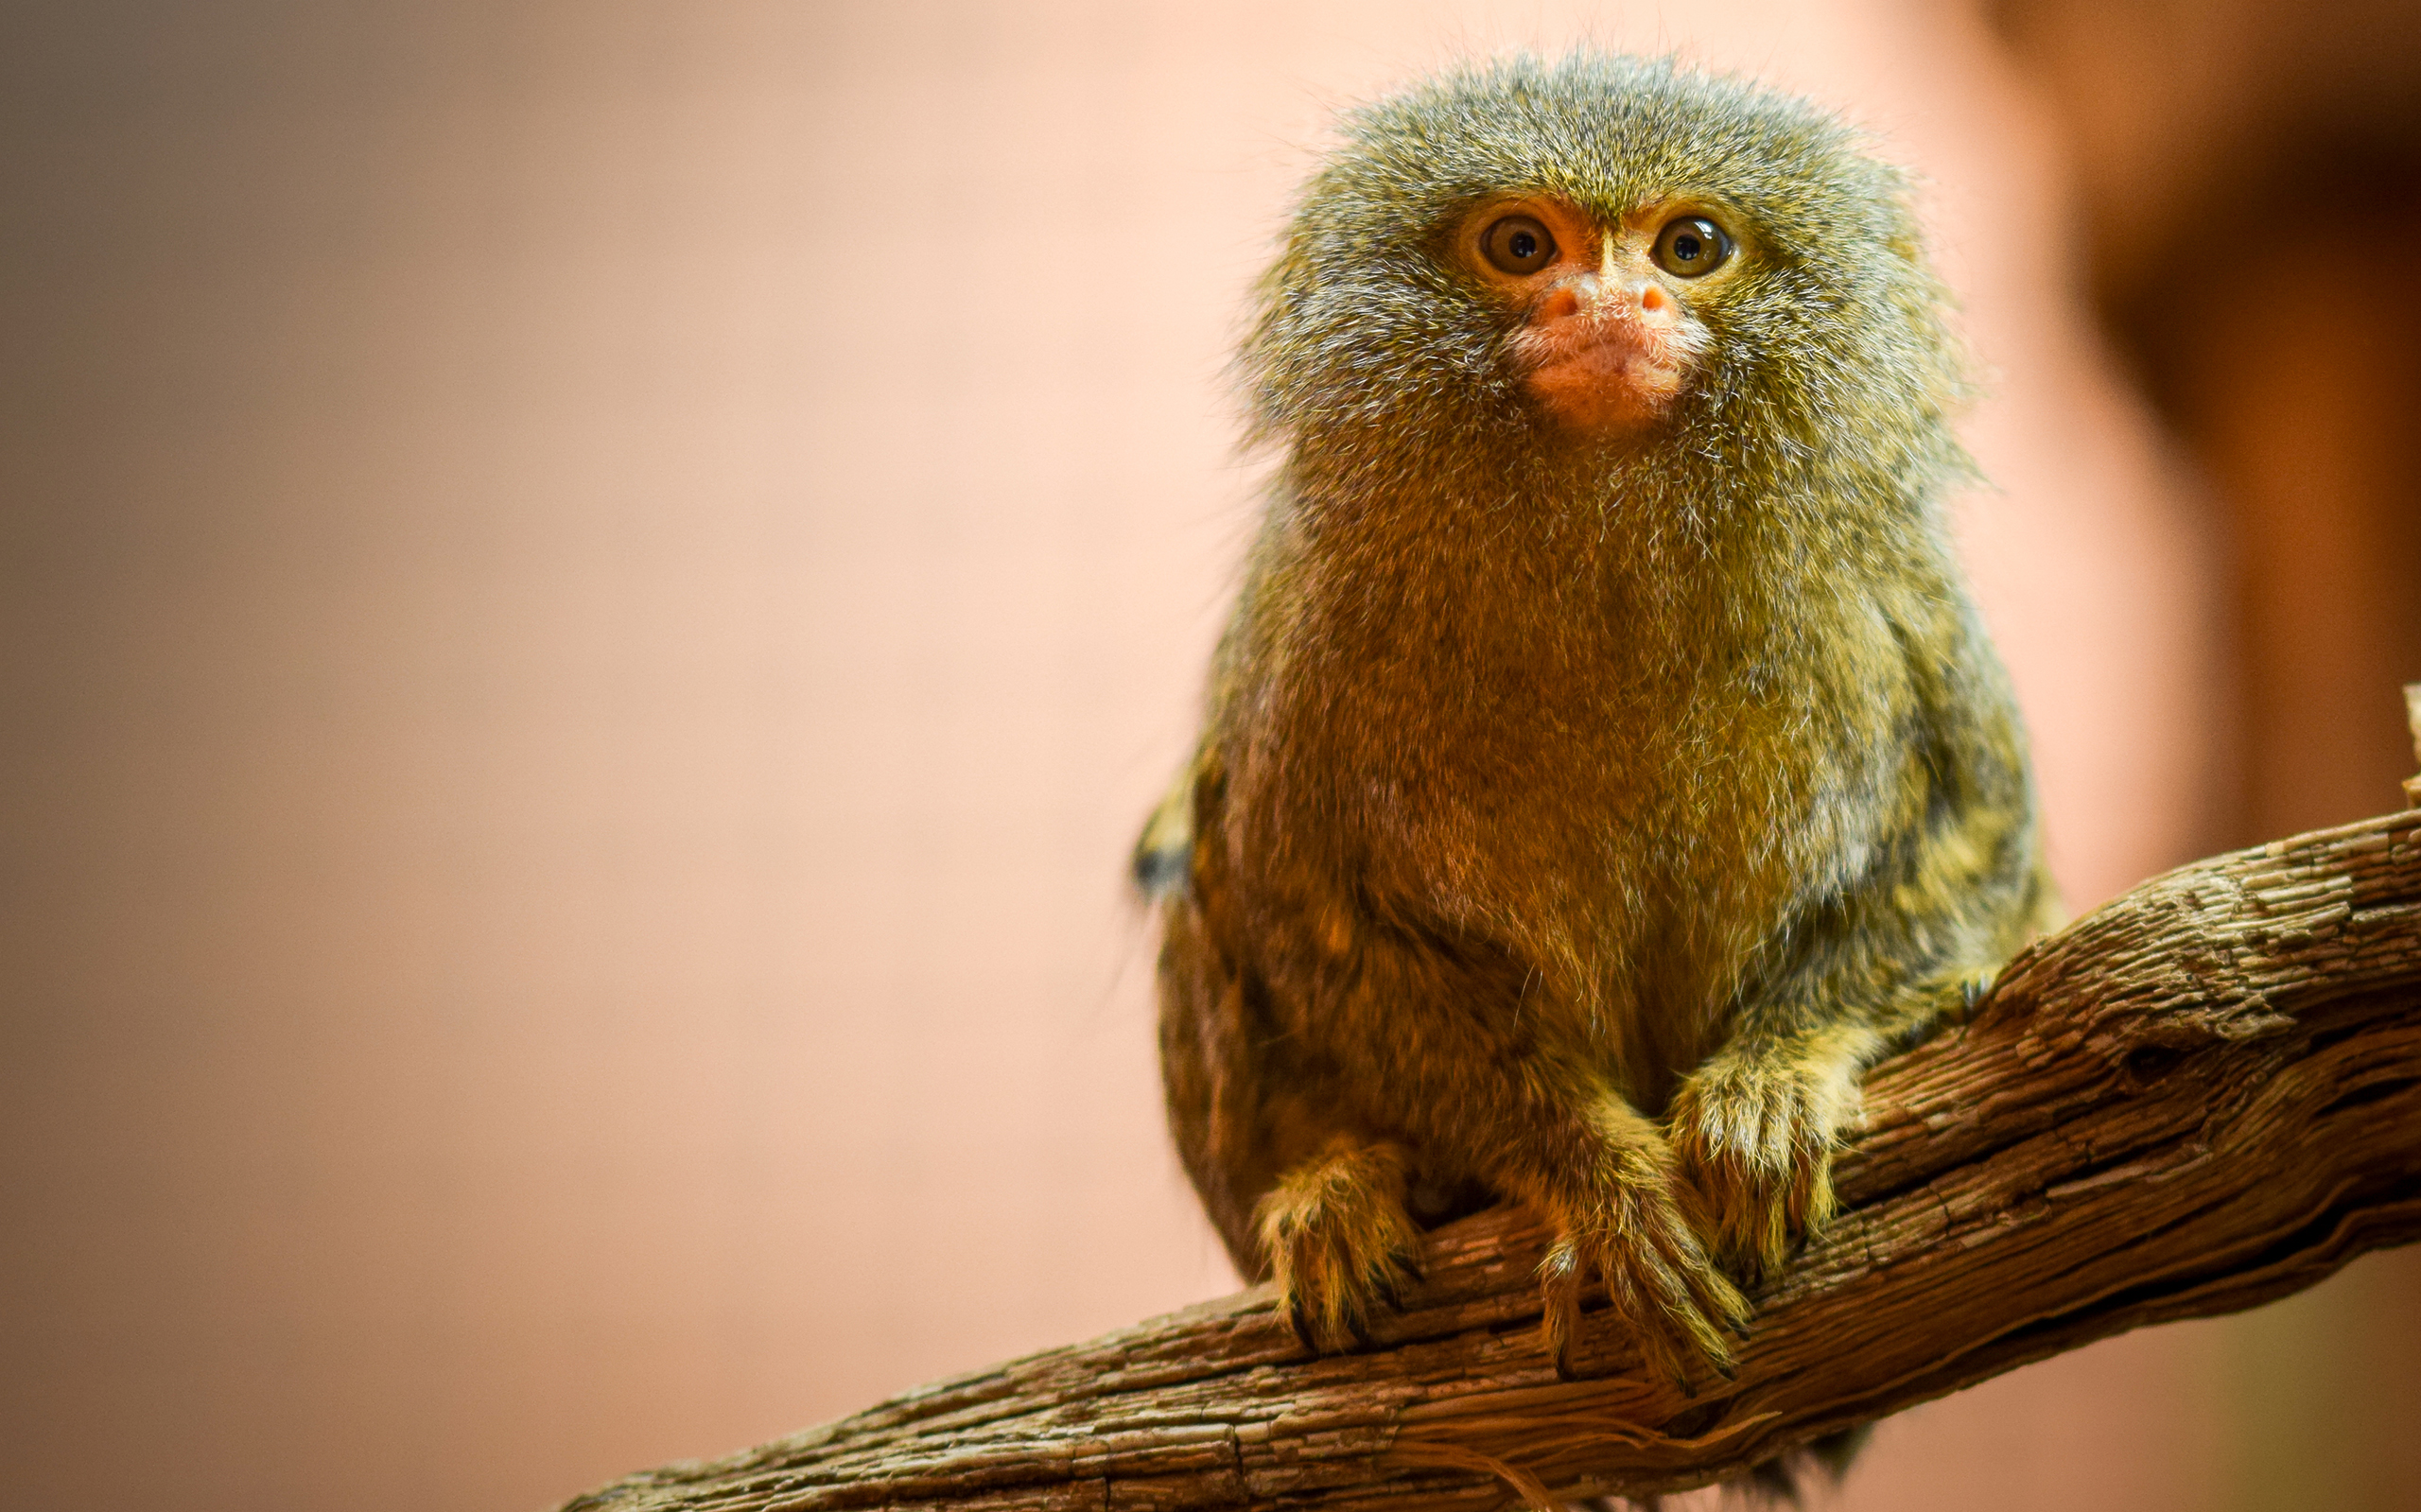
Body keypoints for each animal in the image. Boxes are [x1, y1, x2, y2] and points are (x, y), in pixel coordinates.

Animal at [1133, 53, 2060, 1398]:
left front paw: (1774, 1081)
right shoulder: (1311, 640)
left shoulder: (1899, 601)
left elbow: (1973, 844)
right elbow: (1313, 919)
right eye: (1522, 245)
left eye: (1691, 246)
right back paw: (1337, 1184)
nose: (1611, 304)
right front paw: (1601, 1187)